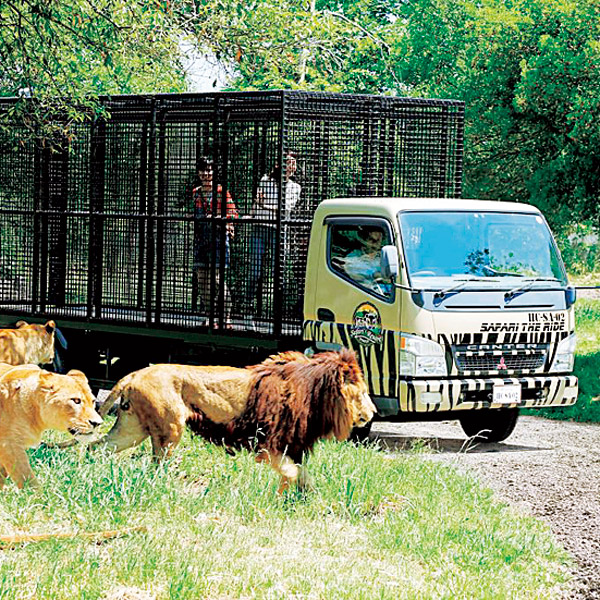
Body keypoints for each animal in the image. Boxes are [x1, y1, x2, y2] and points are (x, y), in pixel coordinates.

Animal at [95, 346, 376, 492]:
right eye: (363, 392)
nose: (373, 412)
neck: (315, 394)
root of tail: (133, 374)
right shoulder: (269, 445)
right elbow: (293, 473)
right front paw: (287, 495)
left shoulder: (293, 446)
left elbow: (302, 473)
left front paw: (305, 495)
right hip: (169, 430)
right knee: (157, 465)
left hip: (132, 429)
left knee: (98, 447)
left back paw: (90, 469)